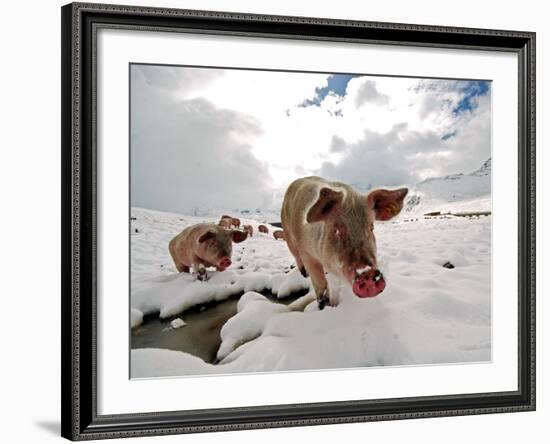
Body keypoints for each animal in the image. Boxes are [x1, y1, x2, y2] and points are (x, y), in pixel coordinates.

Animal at [282, 177, 408, 308]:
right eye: (336, 230)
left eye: (371, 227)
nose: (367, 273)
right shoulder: (306, 252)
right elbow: (320, 283)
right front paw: (323, 305)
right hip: (288, 234)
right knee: (296, 256)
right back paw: (304, 274)